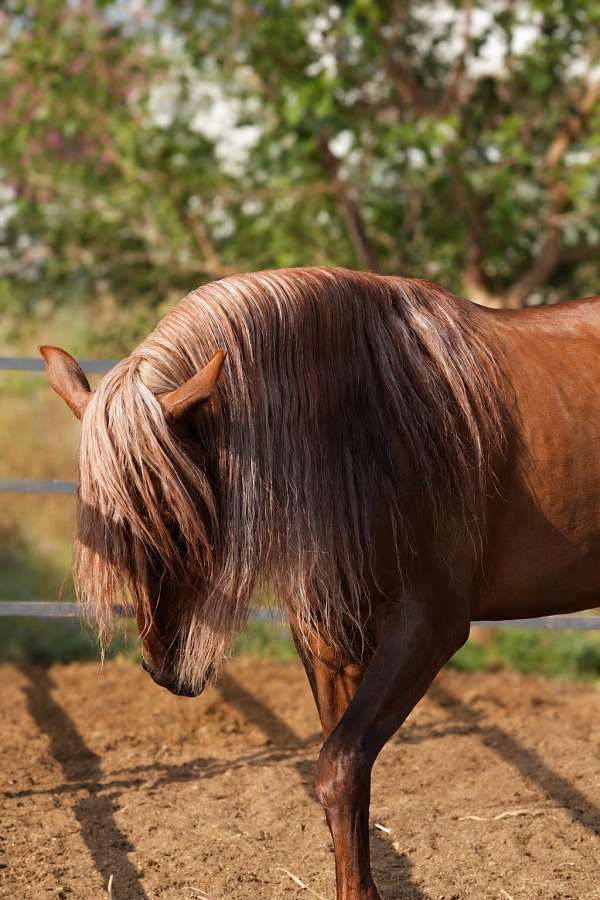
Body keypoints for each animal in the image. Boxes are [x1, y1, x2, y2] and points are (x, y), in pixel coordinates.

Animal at [40, 266, 600, 900]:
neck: (371, 427)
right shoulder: (327, 637)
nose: (166, 668)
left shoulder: (428, 627)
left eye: (177, 518)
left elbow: (341, 766)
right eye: (111, 536)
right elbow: (347, 777)